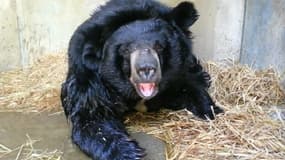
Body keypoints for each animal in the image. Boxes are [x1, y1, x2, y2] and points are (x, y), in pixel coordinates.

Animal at [61, 0, 223, 159]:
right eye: (126, 50)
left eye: (159, 47)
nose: (146, 69)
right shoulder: (89, 77)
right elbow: (93, 116)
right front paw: (128, 152)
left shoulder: (178, 70)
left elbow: (190, 87)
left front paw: (212, 111)